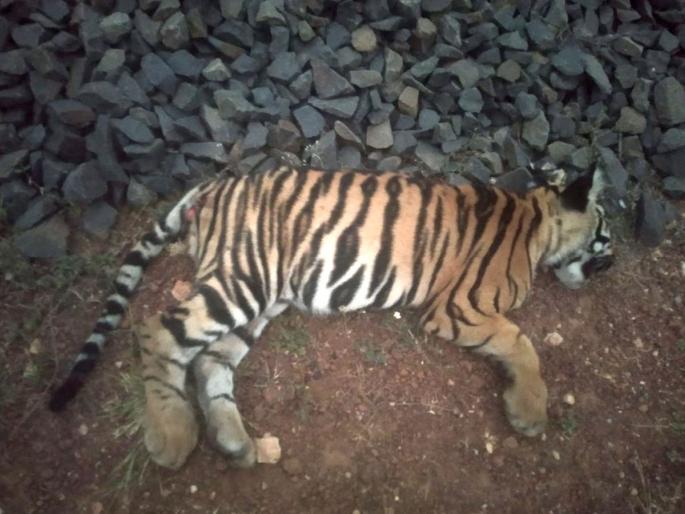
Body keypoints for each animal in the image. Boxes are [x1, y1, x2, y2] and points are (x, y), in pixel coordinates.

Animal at [49, 165, 614, 470]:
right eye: (606, 228)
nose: (612, 264)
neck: (537, 225)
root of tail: (216, 186)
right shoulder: (460, 308)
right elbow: (522, 342)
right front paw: (530, 411)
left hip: (259, 298)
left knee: (210, 361)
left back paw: (234, 443)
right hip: (243, 279)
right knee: (158, 333)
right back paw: (171, 434)